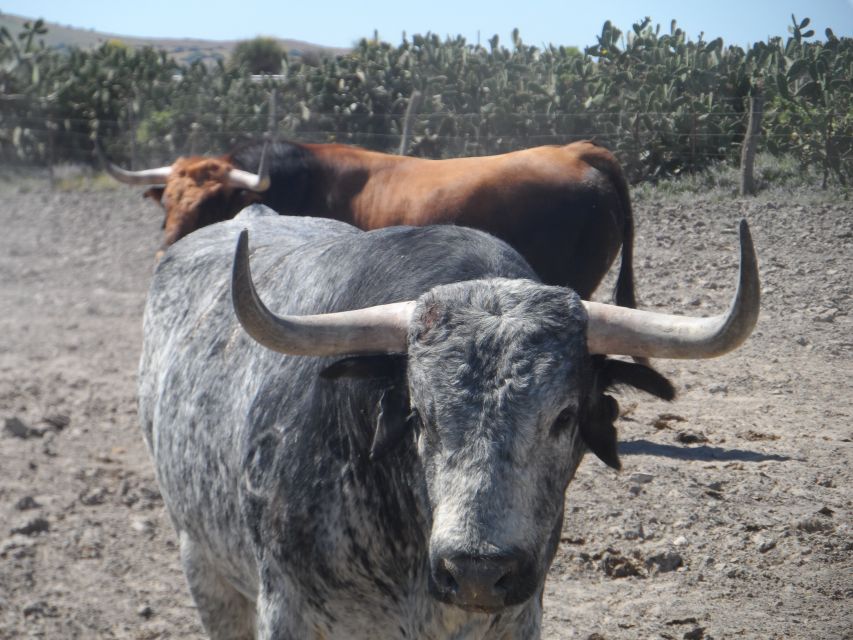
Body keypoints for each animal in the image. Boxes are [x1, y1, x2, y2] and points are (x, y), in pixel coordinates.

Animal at [140, 208, 760, 636]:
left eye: (563, 417)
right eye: (418, 416)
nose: (477, 571)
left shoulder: (516, 616)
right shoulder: (286, 613)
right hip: (202, 561)